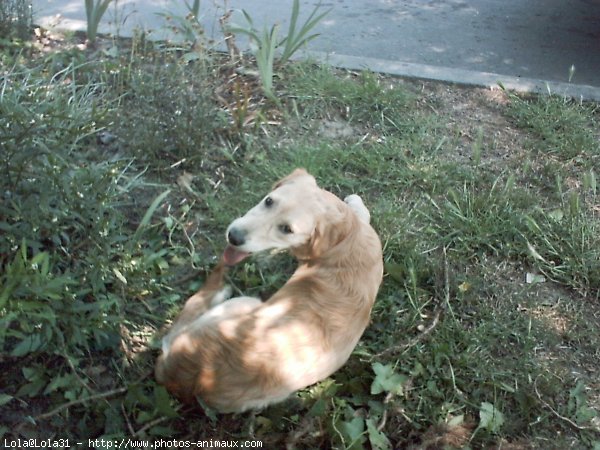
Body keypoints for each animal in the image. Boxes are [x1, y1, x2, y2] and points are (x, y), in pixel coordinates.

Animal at [156, 168, 384, 412]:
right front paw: (353, 202)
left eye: (287, 229)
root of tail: (177, 376)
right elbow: (361, 213)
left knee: (178, 324)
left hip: (242, 303)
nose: (233, 236)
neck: (346, 242)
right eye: (268, 201)